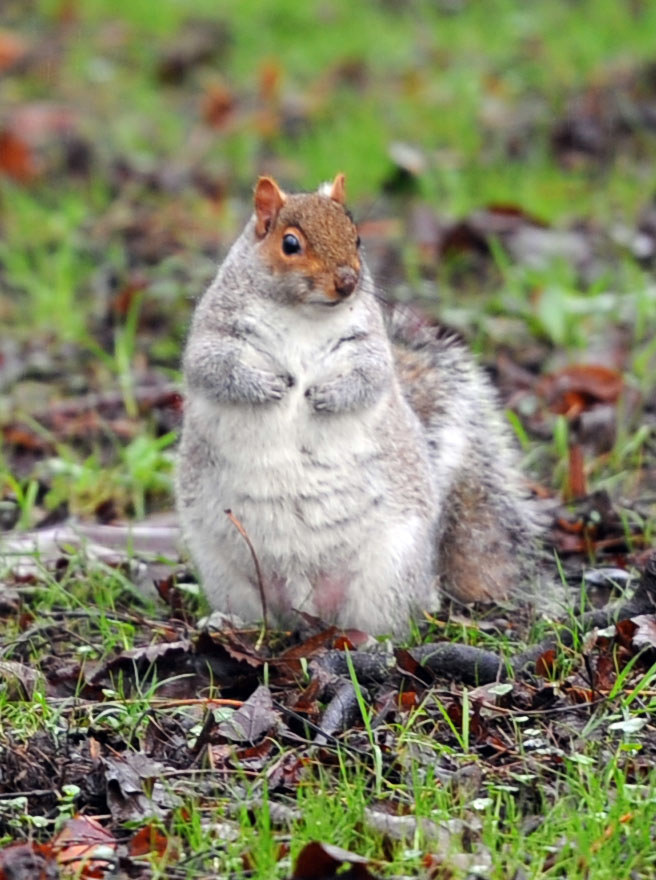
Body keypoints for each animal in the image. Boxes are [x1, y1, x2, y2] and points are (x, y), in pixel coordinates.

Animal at [174, 172, 540, 632]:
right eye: (290, 244)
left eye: (357, 237)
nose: (347, 281)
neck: (303, 313)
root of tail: (307, 607)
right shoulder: (216, 331)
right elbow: (212, 367)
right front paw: (267, 386)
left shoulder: (368, 345)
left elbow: (371, 377)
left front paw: (326, 395)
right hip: (227, 569)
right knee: (255, 613)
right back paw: (228, 624)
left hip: (388, 569)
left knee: (383, 621)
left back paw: (370, 640)